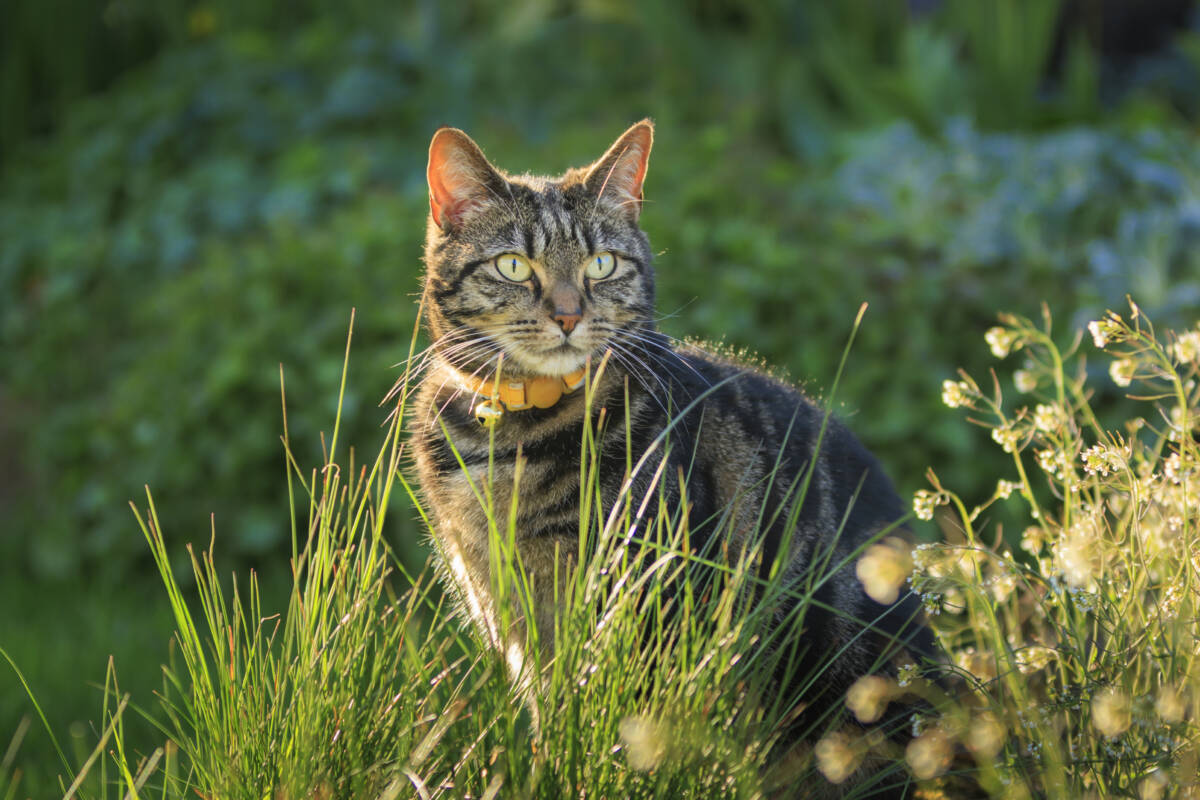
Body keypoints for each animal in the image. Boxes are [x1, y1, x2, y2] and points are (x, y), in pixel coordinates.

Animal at [408, 118, 931, 786]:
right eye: (513, 265)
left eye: (602, 264)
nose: (568, 315)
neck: (513, 436)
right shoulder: (509, 615)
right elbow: (552, 721)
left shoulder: (644, 607)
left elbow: (620, 732)